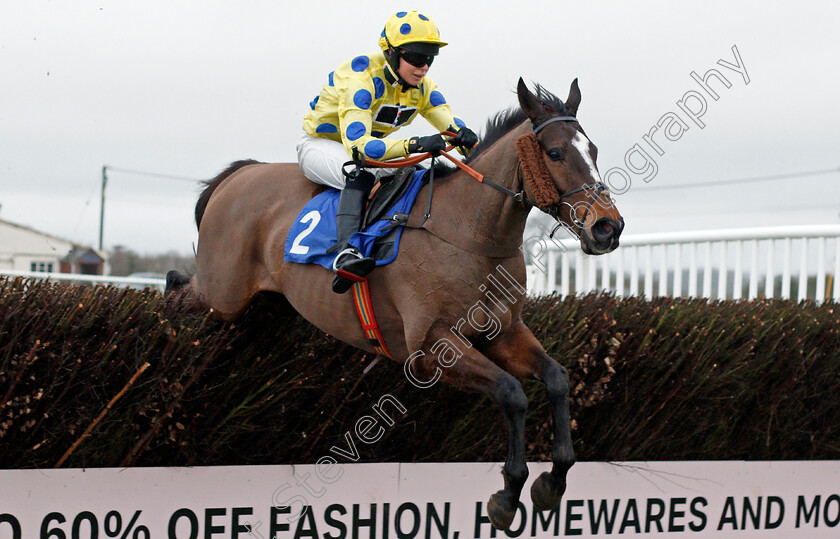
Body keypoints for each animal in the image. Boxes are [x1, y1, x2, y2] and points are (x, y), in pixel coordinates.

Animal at [169, 78, 624, 528]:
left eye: (594, 151)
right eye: (555, 152)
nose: (608, 227)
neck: (470, 233)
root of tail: (241, 173)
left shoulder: (504, 332)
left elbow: (558, 379)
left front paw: (552, 481)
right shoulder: (431, 349)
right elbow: (512, 394)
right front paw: (508, 495)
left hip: (263, 304)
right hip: (220, 294)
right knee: (179, 288)